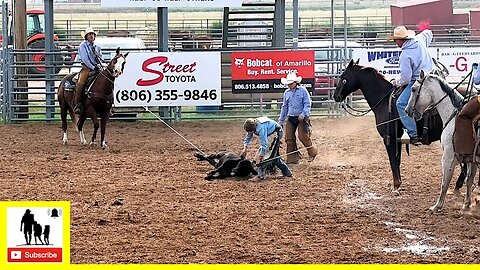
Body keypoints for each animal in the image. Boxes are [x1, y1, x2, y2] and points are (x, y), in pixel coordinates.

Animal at [332, 59, 464, 194]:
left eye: (343, 77)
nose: (336, 96)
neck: (384, 101)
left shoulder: (389, 139)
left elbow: (393, 161)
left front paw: (395, 186)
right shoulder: (398, 139)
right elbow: (397, 160)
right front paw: (398, 184)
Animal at [404, 70, 476, 212]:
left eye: (413, 89)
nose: (407, 110)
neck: (455, 117)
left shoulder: (449, 157)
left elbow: (444, 182)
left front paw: (437, 205)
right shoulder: (470, 158)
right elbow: (469, 179)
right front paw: (466, 204)